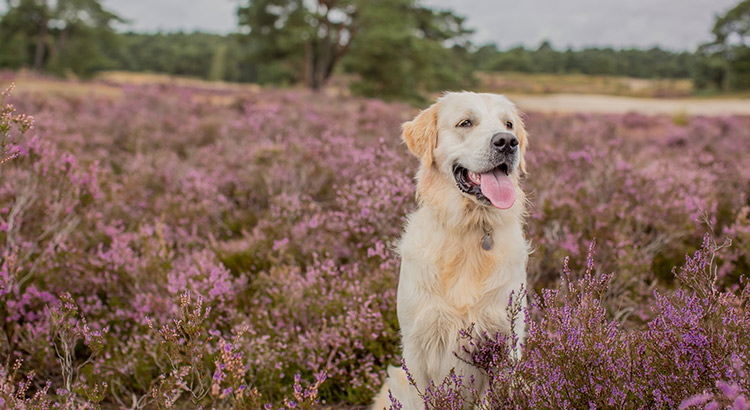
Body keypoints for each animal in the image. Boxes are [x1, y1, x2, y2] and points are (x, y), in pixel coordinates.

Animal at [374, 92, 532, 410]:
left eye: (508, 124)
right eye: (465, 123)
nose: (507, 142)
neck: (470, 229)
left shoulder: (507, 343)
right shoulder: (416, 347)